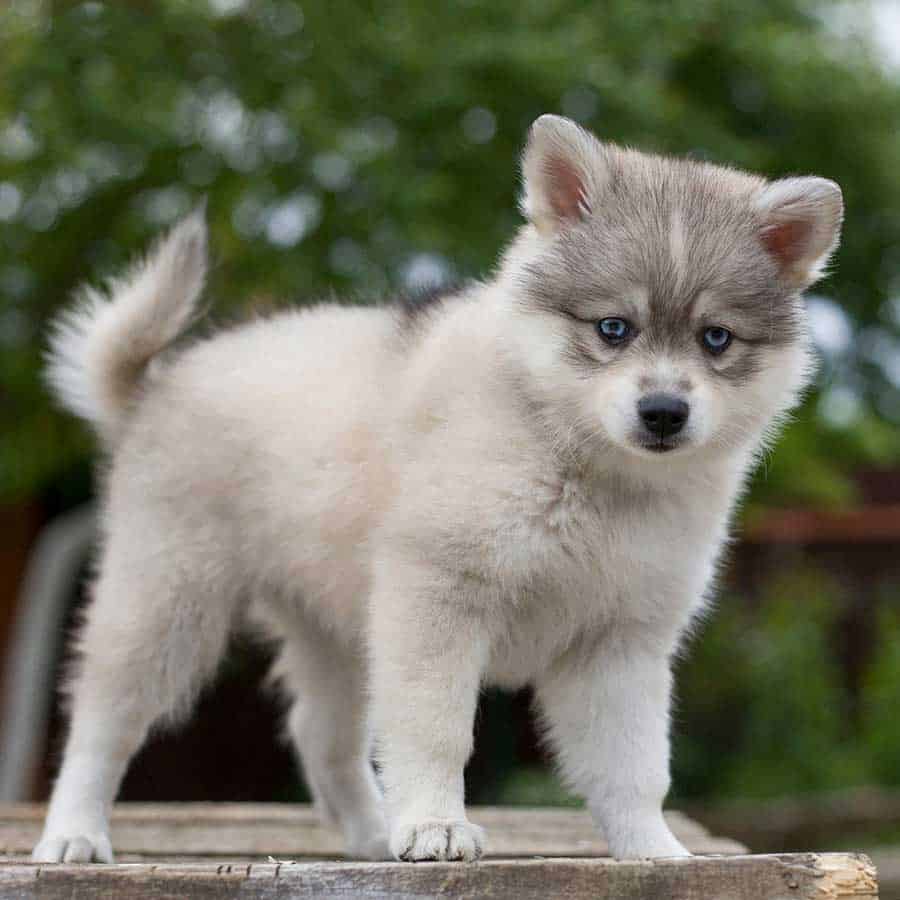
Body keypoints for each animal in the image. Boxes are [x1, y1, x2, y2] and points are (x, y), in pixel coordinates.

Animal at [31, 116, 840, 860]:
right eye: (614, 328)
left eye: (715, 339)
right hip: (164, 603)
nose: (665, 412)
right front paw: (434, 826)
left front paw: (655, 853)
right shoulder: (438, 602)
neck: (580, 465)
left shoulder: (621, 644)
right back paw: (74, 834)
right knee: (100, 723)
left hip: (335, 628)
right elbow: (437, 732)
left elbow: (636, 767)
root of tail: (157, 386)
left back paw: (368, 836)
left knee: (321, 735)